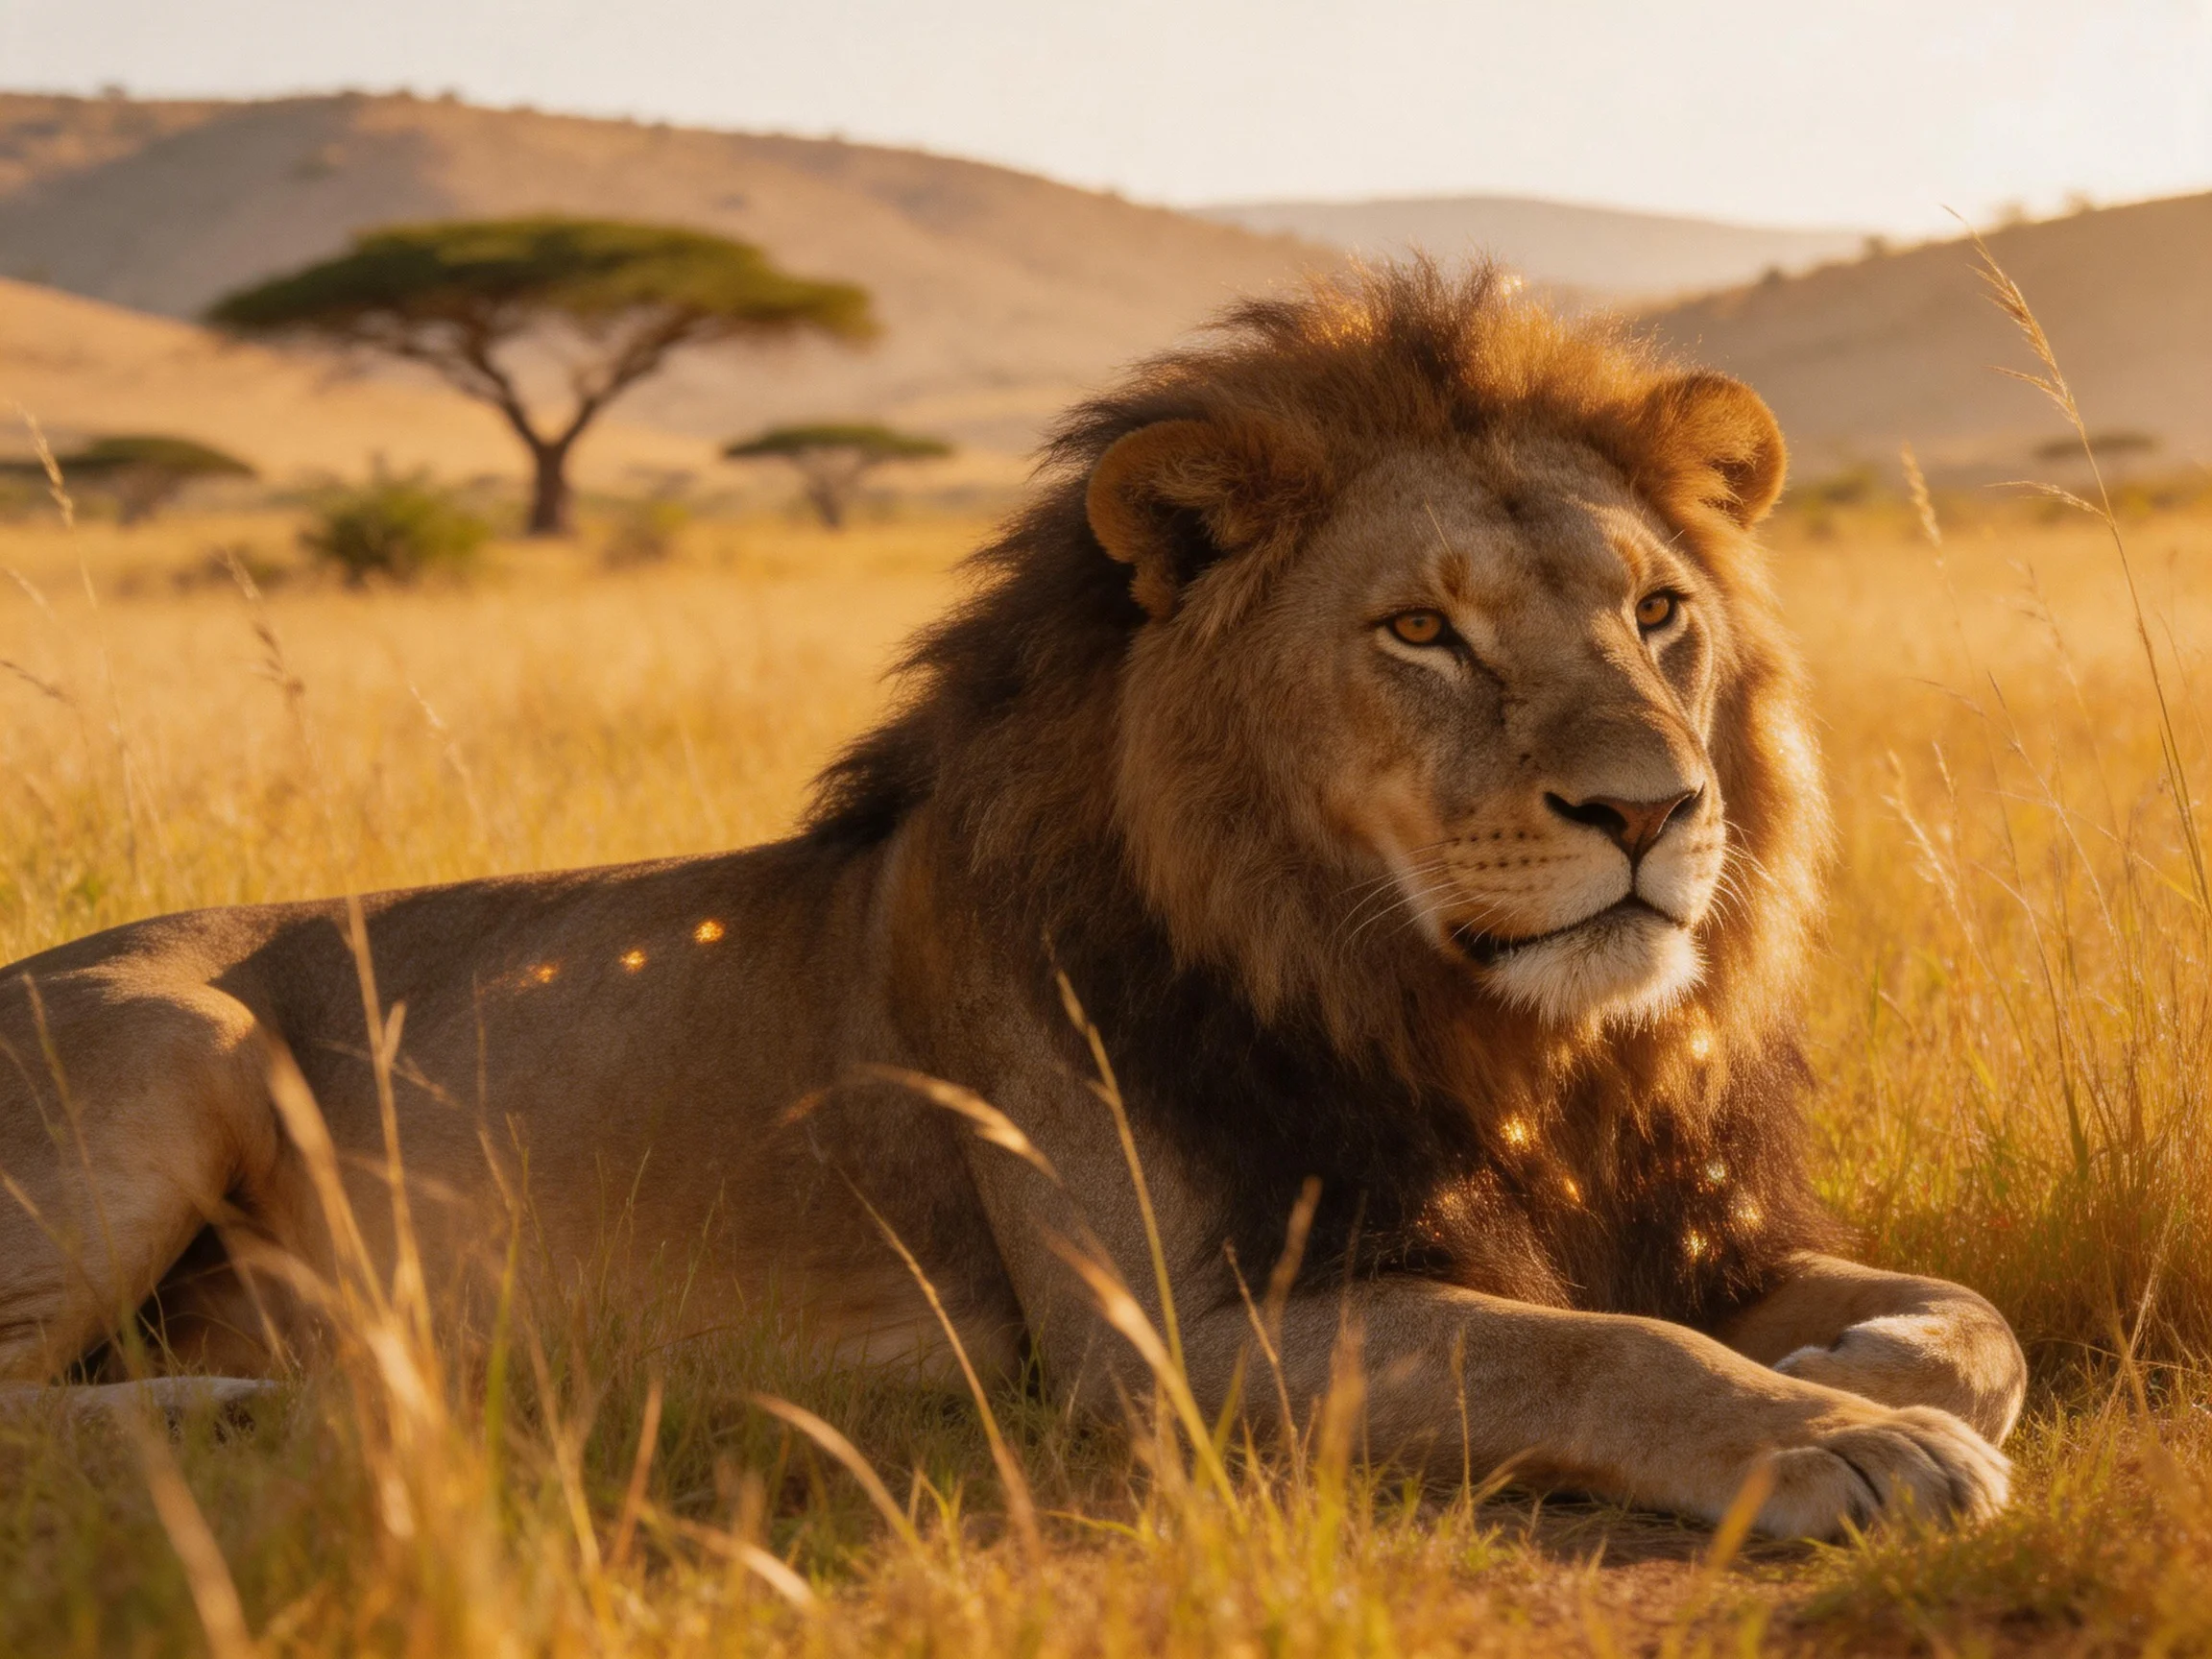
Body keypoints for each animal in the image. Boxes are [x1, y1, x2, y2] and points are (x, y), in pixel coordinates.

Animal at [0, 264, 2024, 1538]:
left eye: (1655, 612)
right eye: (1418, 631)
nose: (1649, 808)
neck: (1484, 1034)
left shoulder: (1678, 1217)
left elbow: (1966, 1311)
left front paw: (1865, 1360)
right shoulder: (1169, 1347)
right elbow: (1581, 1346)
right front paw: (1846, 1438)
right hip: (182, 1032)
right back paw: (253, 1408)